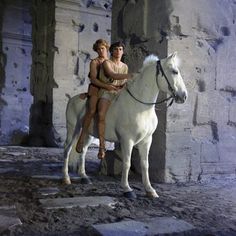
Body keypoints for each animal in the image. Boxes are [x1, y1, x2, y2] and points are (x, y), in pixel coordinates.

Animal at [62, 52, 188, 198]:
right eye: (175, 71)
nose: (184, 96)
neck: (141, 107)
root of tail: (72, 99)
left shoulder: (147, 140)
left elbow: (145, 164)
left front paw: (150, 190)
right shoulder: (127, 140)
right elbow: (127, 163)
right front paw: (127, 189)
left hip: (88, 134)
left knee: (83, 151)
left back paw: (84, 177)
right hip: (73, 129)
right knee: (67, 149)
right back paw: (66, 178)